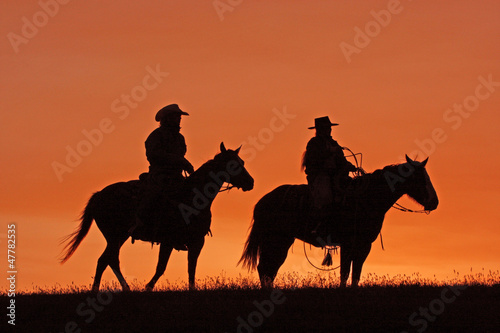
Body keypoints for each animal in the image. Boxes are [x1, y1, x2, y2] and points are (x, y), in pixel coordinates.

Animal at [61, 143, 254, 290]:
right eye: (232, 164)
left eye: (242, 162)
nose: (250, 182)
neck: (192, 197)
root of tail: (98, 195)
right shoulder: (168, 241)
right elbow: (161, 267)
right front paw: (147, 287)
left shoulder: (197, 241)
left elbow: (191, 269)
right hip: (116, 236)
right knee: (106, 260)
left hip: (118, 237)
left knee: (109, 259)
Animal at [238, 154, 438, 286]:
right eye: (420, 178)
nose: (434, 202)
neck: (365, 198)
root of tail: (263, 201)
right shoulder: (349, 243)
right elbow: (345, 272)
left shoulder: (363, 245)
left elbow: (356, 272)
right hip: (275, 240)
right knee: (265, 267)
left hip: (282, 241)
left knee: (269, 268)